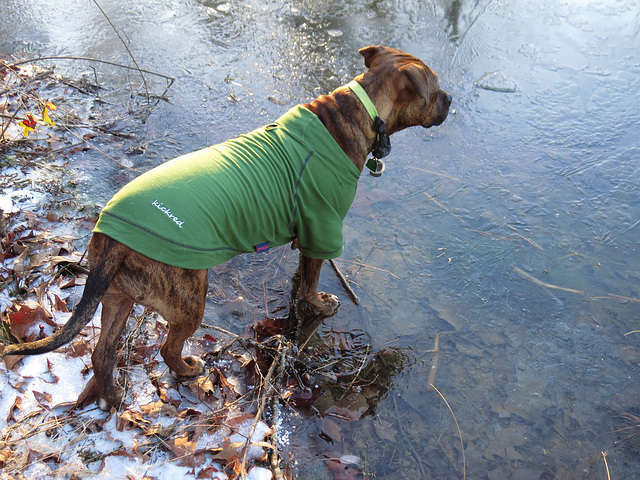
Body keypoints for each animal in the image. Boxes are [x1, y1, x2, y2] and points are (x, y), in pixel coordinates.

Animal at [2, 47, 450, 410]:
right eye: (435, 87)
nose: (451, 100)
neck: (361, 109)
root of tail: (110, 235)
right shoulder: (321, 228)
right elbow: (309, 283)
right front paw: (319, 304)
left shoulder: (307, 236)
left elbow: (301, 273)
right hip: (188, 296)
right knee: (167, 348)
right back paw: (186, 369)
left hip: (118, 295)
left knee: (103, 354)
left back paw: (111, 400)